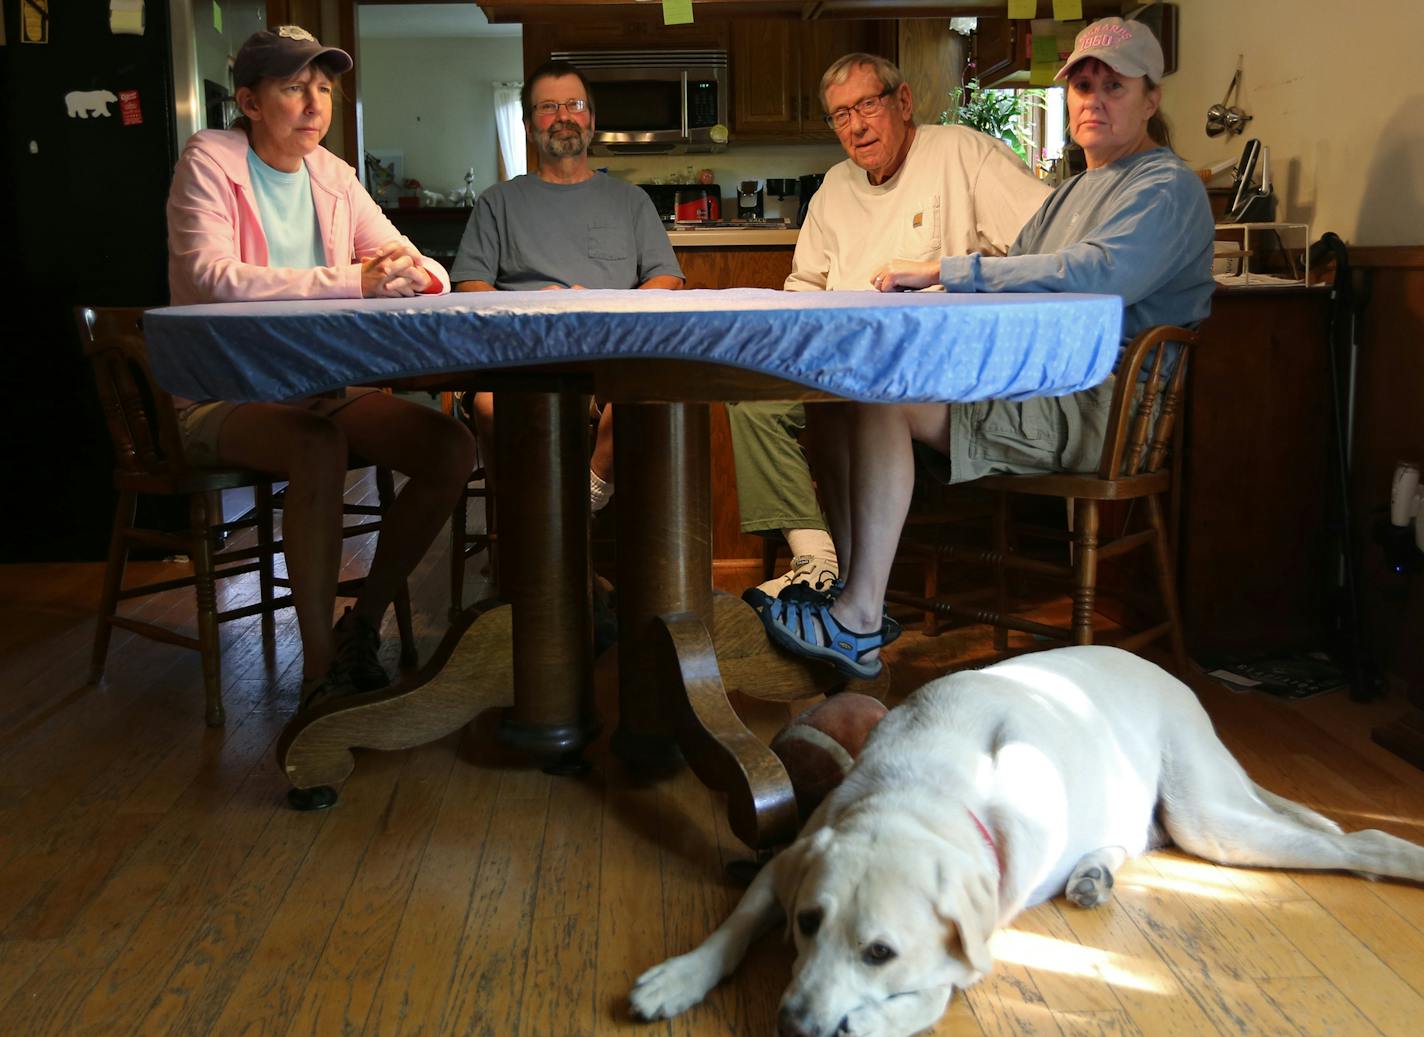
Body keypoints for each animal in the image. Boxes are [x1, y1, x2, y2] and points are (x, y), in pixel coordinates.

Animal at [629, 643, 1424, 1031]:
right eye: (806, 924)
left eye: (880, 952)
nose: (792, 1025)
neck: (924, 793)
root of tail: (1171, 674)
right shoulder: (788, 863)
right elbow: (735, 923)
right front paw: (679, 976)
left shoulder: (981, 928)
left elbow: (939, 988)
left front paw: (877, 1019)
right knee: (1134, 841)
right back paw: (1095, 871)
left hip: (1212, 819)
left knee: (1348, 841)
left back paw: (1400, 853)